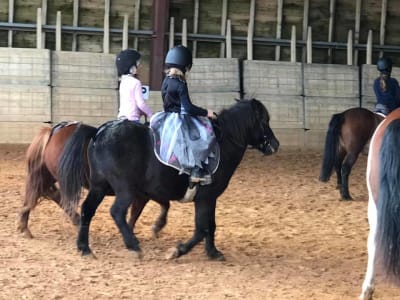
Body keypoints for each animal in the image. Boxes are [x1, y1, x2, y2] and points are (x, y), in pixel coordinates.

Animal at [58, 98, 278, 260]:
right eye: (264, 121)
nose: (275, 145)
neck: (222, 144)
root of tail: (99, 131)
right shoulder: (205, 198)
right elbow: (202, 228)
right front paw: (177, 251)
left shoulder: (209, 198)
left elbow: (210, 226)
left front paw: (213, 252)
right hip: (124, 189)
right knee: (117, 212)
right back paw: (134, 246)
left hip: (99, 187)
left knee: (87, 210)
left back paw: (85, 248)